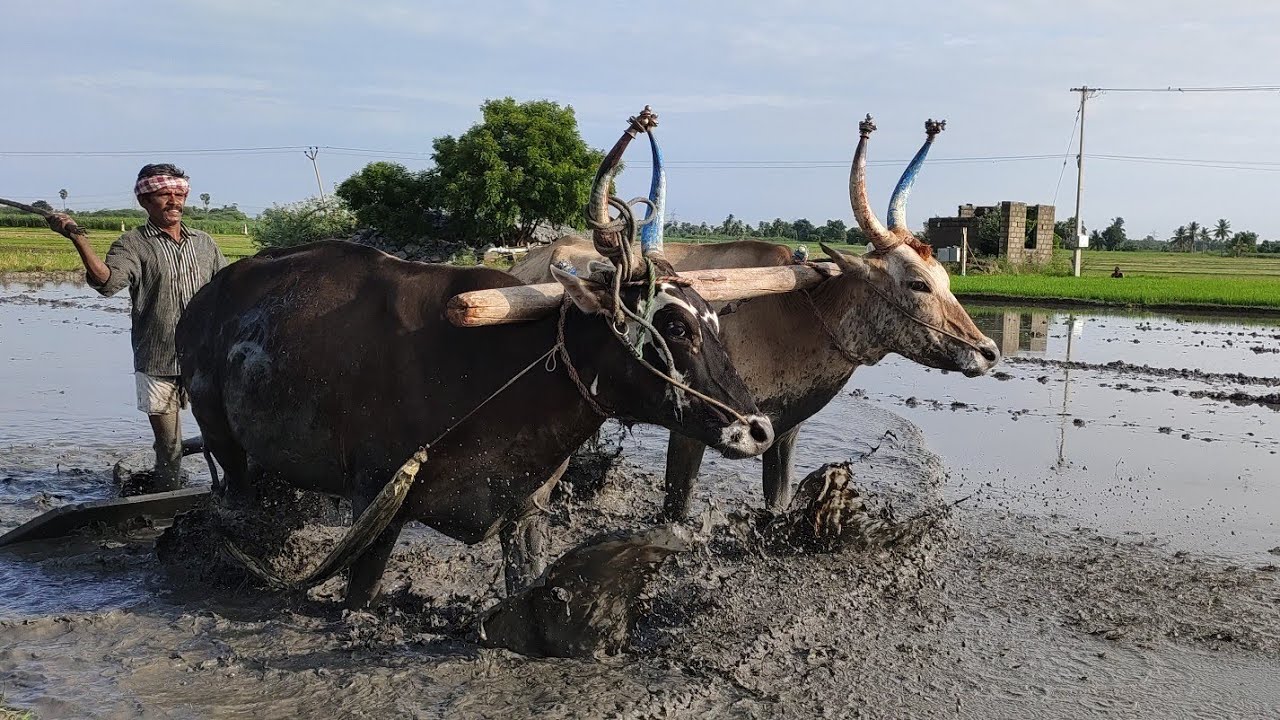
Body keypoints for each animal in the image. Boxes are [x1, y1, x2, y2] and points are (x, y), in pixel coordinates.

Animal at [175, 112, 775, 608]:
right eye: (675, 327)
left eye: (715, 319)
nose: (759, 430)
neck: (494, 375)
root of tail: (207, 295)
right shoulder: (376, 501)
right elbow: (358, 597)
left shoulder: (526, 510)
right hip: (223, 439)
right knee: (237, 498)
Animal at [509, 115, 1001, 520]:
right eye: (918, 284)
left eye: (946, 278)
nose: (989, 351)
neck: (798, 315)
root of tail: (532, 259)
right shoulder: (692, 432)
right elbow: (676, 509)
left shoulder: (785, 432)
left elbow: (777, 501)